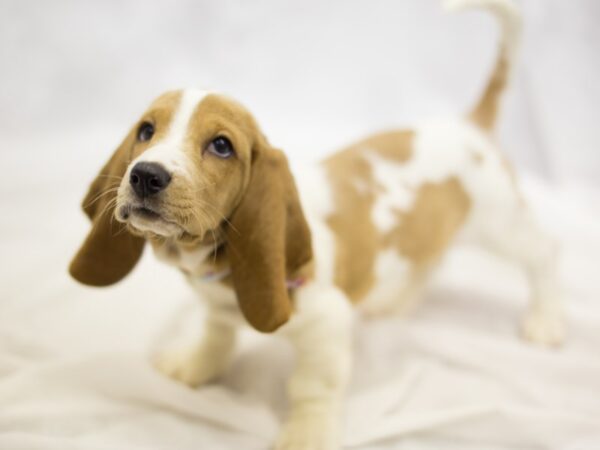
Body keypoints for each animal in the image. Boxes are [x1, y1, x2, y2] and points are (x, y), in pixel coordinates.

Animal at [69, 0, 564, 446]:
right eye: (145, 131)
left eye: (222, 146)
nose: (145, 176)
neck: (215, 266)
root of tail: (469, 126)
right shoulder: (217, 309)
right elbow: (215, 337)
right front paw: (193, 366)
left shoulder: (328, 325)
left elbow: (310, 389)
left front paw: (305, 435)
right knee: (430, 259)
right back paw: (395, 301)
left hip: (500, 222)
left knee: (544, 253)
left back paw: (546, 319)